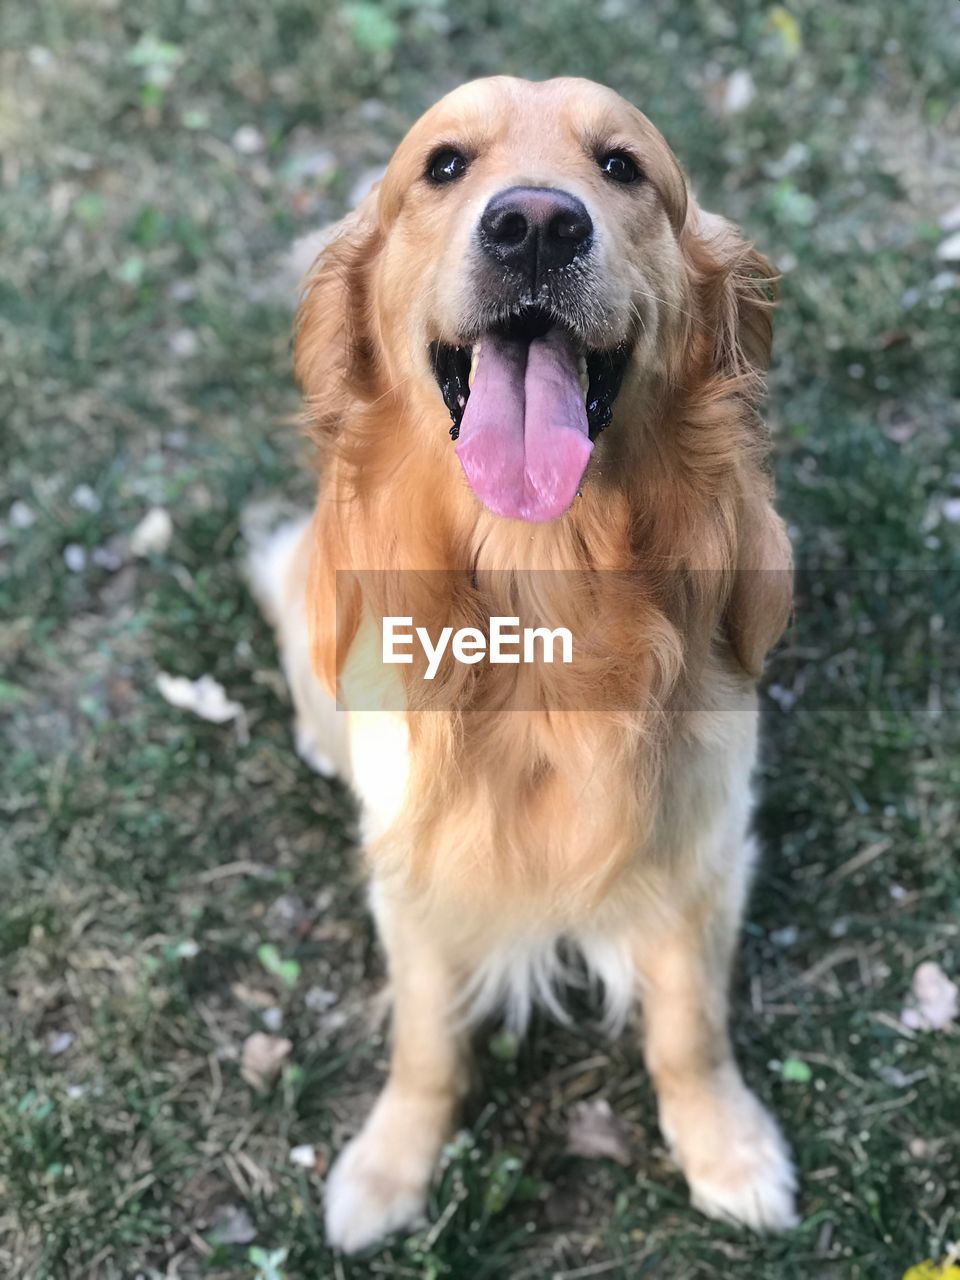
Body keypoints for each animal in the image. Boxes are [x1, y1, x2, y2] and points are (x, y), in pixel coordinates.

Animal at [252, 77, 798, 1249]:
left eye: (623, 166)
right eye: (445, 164)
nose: (537, 224)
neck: (541, 589)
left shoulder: (697, 842)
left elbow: (688, 1026)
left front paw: (726, 1147)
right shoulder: (414, 866)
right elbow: (425, 1038)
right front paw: (390, 1167)